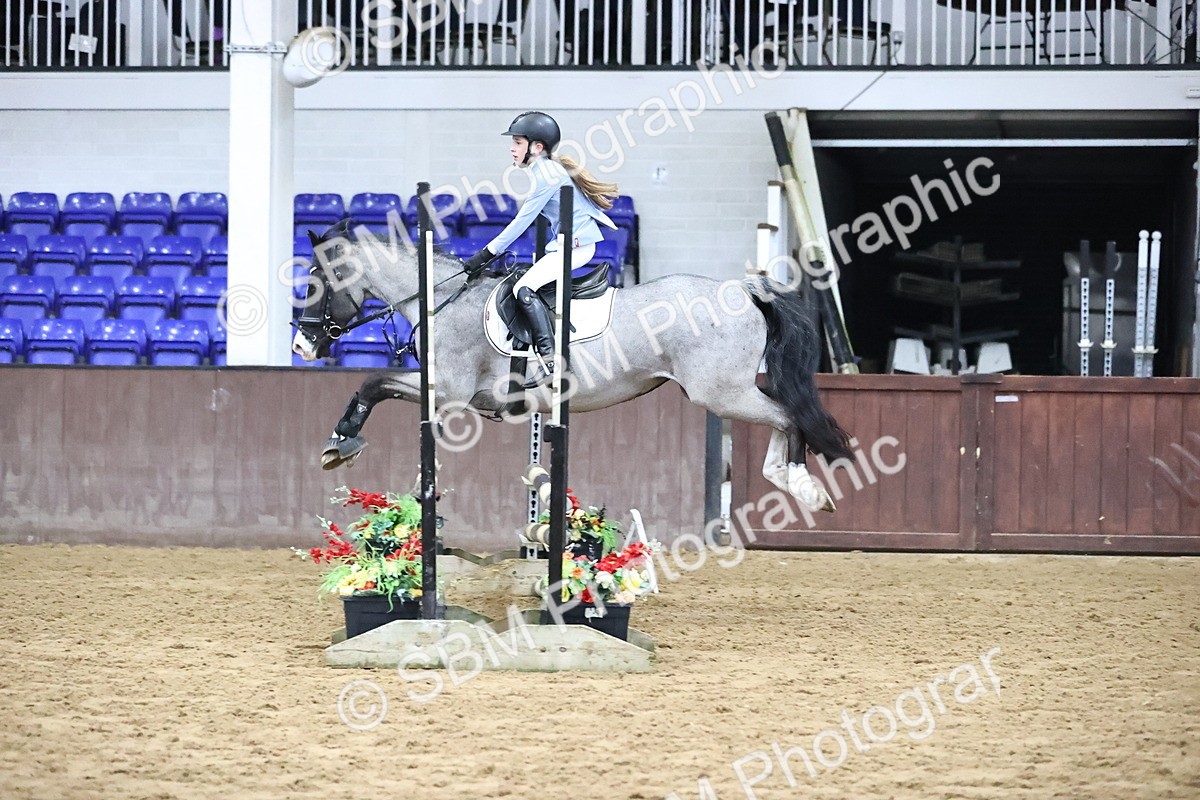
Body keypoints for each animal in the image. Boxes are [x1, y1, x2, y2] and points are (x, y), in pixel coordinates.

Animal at [290, 225, 854, 514]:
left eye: (316, 279)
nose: (301, 343)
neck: (440, 299)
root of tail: (744, 288)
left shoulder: (449, 392)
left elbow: (373, 381)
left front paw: (340, 441)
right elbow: (379, 384)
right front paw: (342, 440)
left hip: (721, 393)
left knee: (788, 417)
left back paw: (802, 484)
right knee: (785, 419)